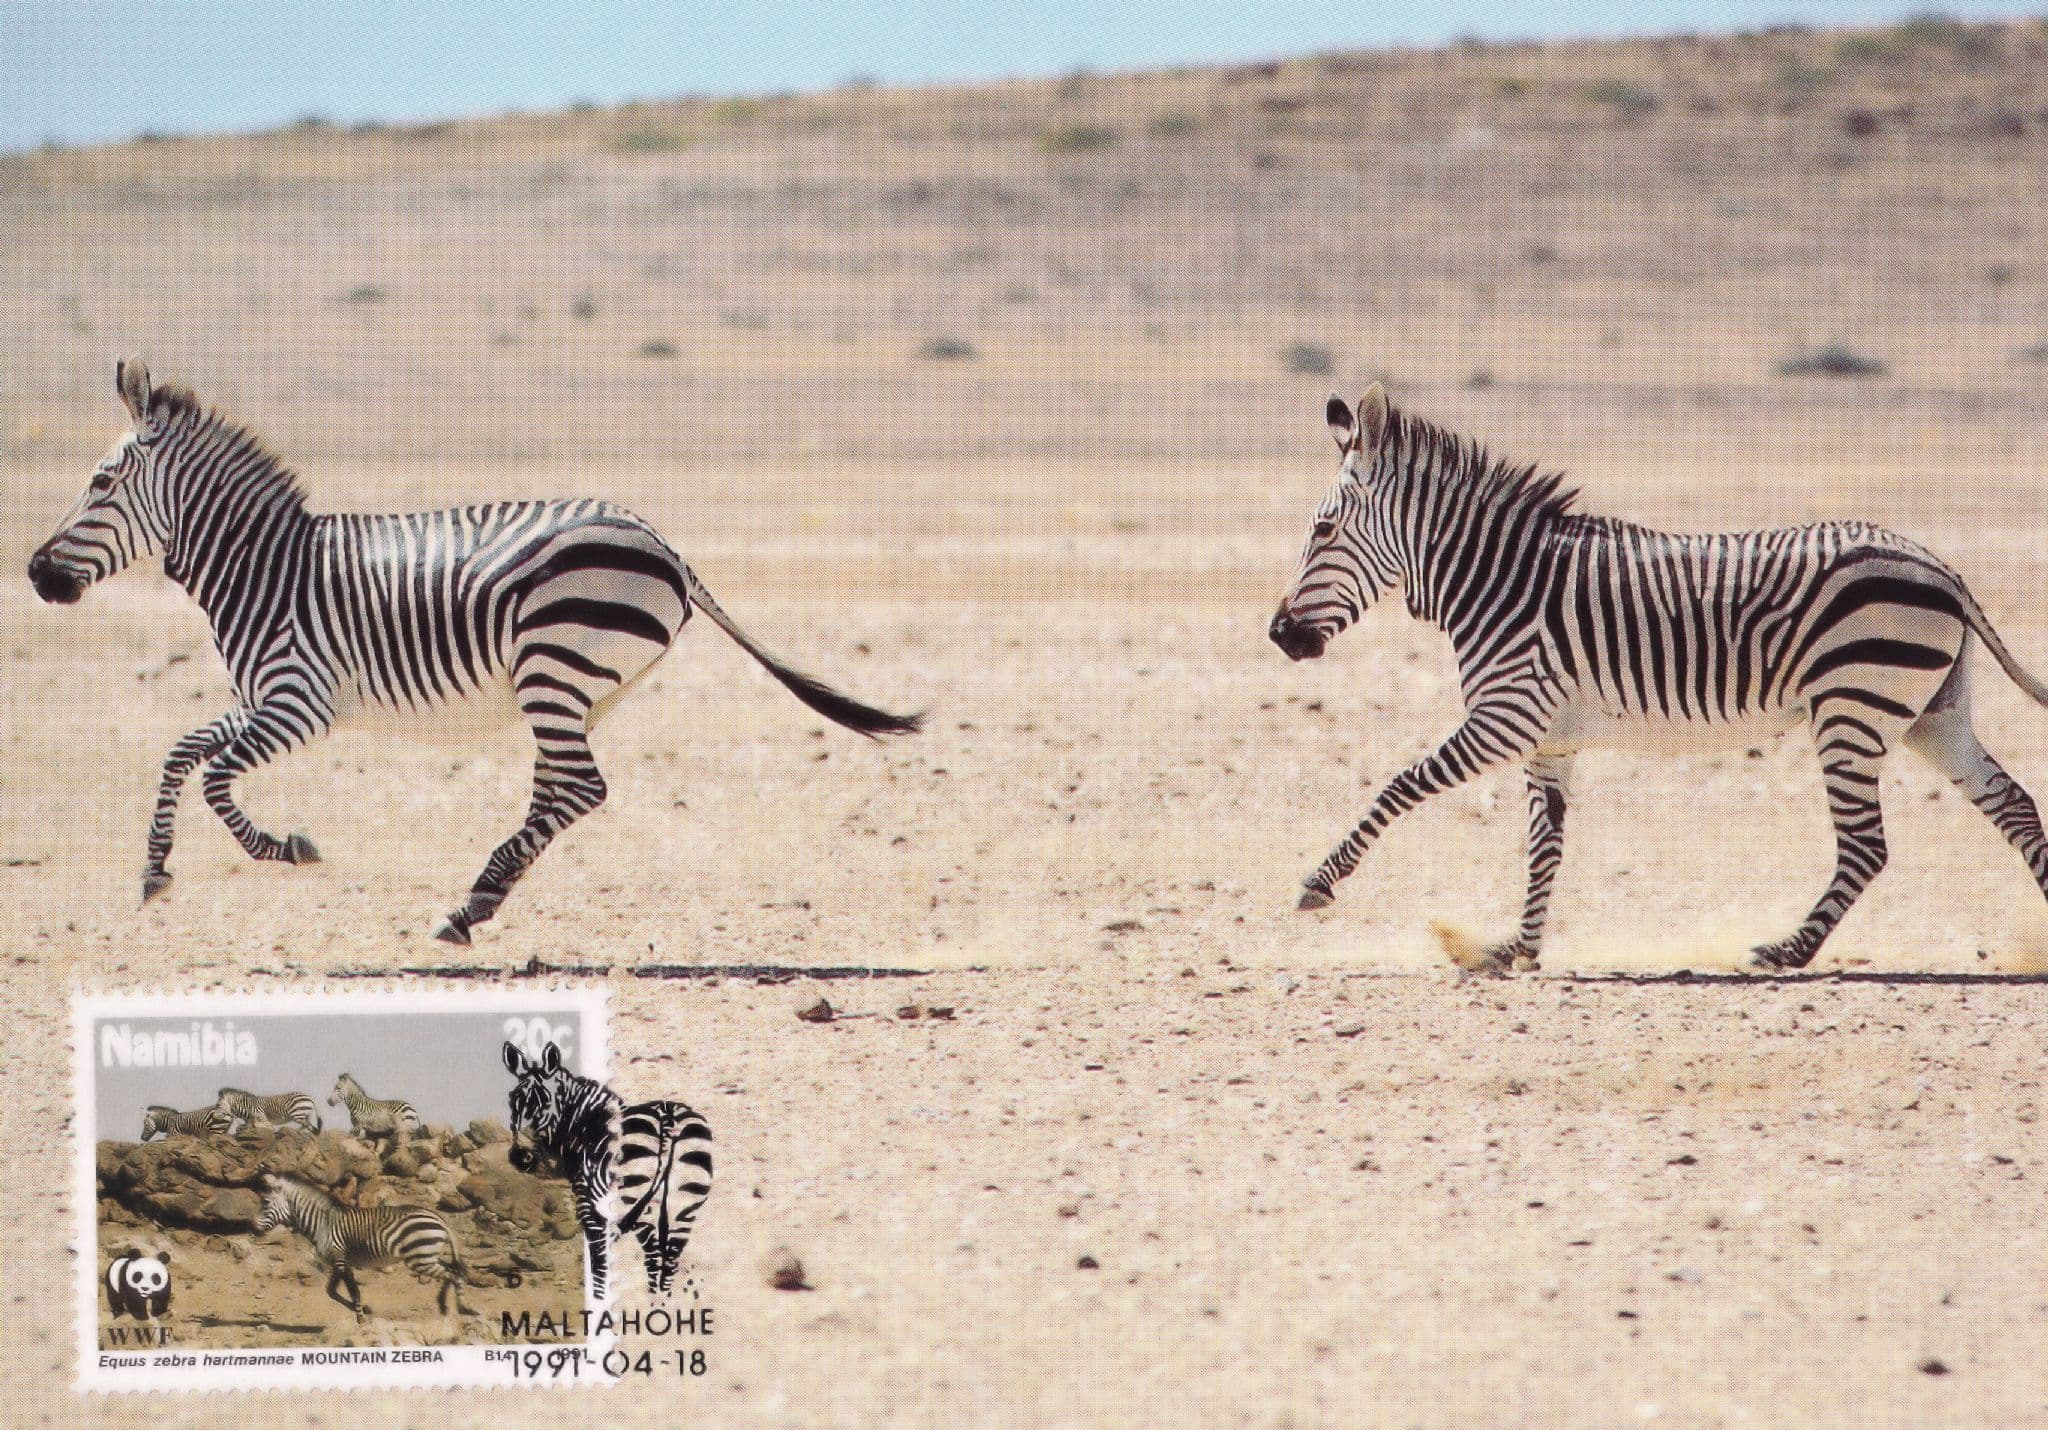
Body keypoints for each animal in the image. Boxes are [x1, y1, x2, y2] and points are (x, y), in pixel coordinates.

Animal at [26, 359, 921, 943]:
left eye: (100, 482)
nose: (35, 574)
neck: (266, 568)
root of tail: (665, 544)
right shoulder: (261, 701)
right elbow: (180, 753)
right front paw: (154, 871)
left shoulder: (302, 703)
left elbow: (214, 779)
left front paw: (290, 849)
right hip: (578, 688)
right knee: (559, 790)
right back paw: (480, 900)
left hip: (551, 666)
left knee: (580, 788)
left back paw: (467, 905)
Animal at [253, 1173, 471, 1320]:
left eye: (265, 1202)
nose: (252, 1229)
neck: (323, 1223)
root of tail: (439, 1218)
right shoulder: (338, 1261)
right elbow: (332, 1291)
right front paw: (362, 1311)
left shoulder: (340, 1259)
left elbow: (353, 1290)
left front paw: (361, 1318)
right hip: (427, 1256)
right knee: (453, 1270)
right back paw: (447, 1306)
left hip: (420, 1259)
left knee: (454, 1274)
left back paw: (458, 1307)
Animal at [501, 1039, 712, 1301]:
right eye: (512, 1102)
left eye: (546, 1103)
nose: (521, 1157)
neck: (584, 1128)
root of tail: (668, 1117)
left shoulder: (589, 1205)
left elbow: (598, 1263)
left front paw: (599, 1301)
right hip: (684, 1203)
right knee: (670, 1256)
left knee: (653, 1255)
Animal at [1269, 384, 2048, 973]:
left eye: (1323, 531)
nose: (1280, 636)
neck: (1500, 582)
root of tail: (1939, 565)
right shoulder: (1549, 739)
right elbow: (1545, 846)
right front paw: (1517, 948)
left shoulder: (1507, 718)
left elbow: (1401, 785)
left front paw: (1318, 882)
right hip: (1930, 715)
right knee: (2012, 805)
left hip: (1851, 708)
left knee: (1867, 846)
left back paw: (1784, 951)